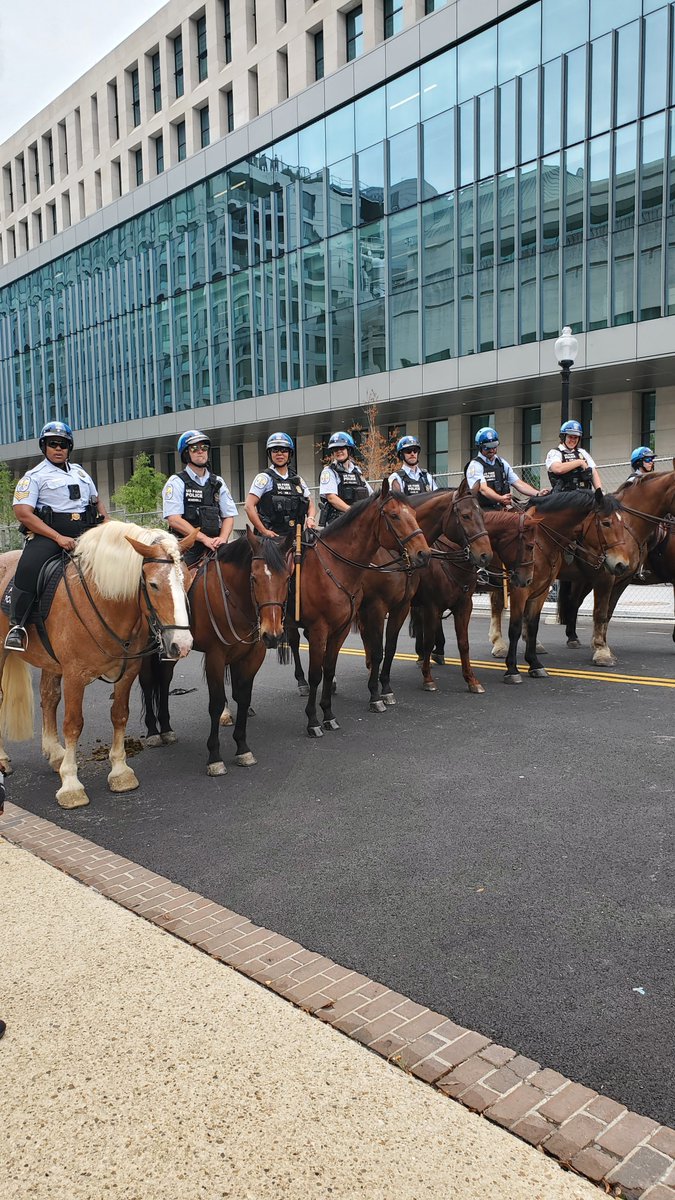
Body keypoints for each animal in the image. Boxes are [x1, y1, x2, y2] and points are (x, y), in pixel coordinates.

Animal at [0, 523, 193, 811]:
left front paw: (120, 772)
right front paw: (71, 785)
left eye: (187, 581)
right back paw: (4, 759)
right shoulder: (74, 675)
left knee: (48, 697)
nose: (182, 644)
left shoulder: (128, 672)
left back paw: (54, 754)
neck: (104, 602)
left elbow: (119, 715)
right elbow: (73, 724)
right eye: (153, 584)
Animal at [138, 530, 293, 772]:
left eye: (286, 578)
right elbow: (217, 703)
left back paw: (166, 729)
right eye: (254, 578)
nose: (273, 634)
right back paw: (154, 732)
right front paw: (215, 756)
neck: (233, 599)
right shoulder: (215, 656)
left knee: (164, 680)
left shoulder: (252, 656)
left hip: (174, 646)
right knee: (147, 681)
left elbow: (243, 698)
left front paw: (242, 748)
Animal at [283, 482, 425, 734]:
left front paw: (329, 714)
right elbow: (319, 672)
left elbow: (330, 668)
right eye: (394, 516)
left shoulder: (349, 625)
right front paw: (313, 720)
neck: (336, 565)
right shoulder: (369, 611)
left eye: (415, 514)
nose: (423, 553)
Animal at [357, 482, 487, 705]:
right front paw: (428, 679)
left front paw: (471, 680)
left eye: (483, 514)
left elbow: (464, 643)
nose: (486, 555)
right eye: (466, 515)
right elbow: (427, 642)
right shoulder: (429, 606)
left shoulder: (463, 605)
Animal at [552, 463, 672, 667]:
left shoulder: (622, 578)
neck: (629, 525)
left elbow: (607, 612)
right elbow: (600, 612)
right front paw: (601, 651)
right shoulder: (605, 576)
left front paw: (601, 645)